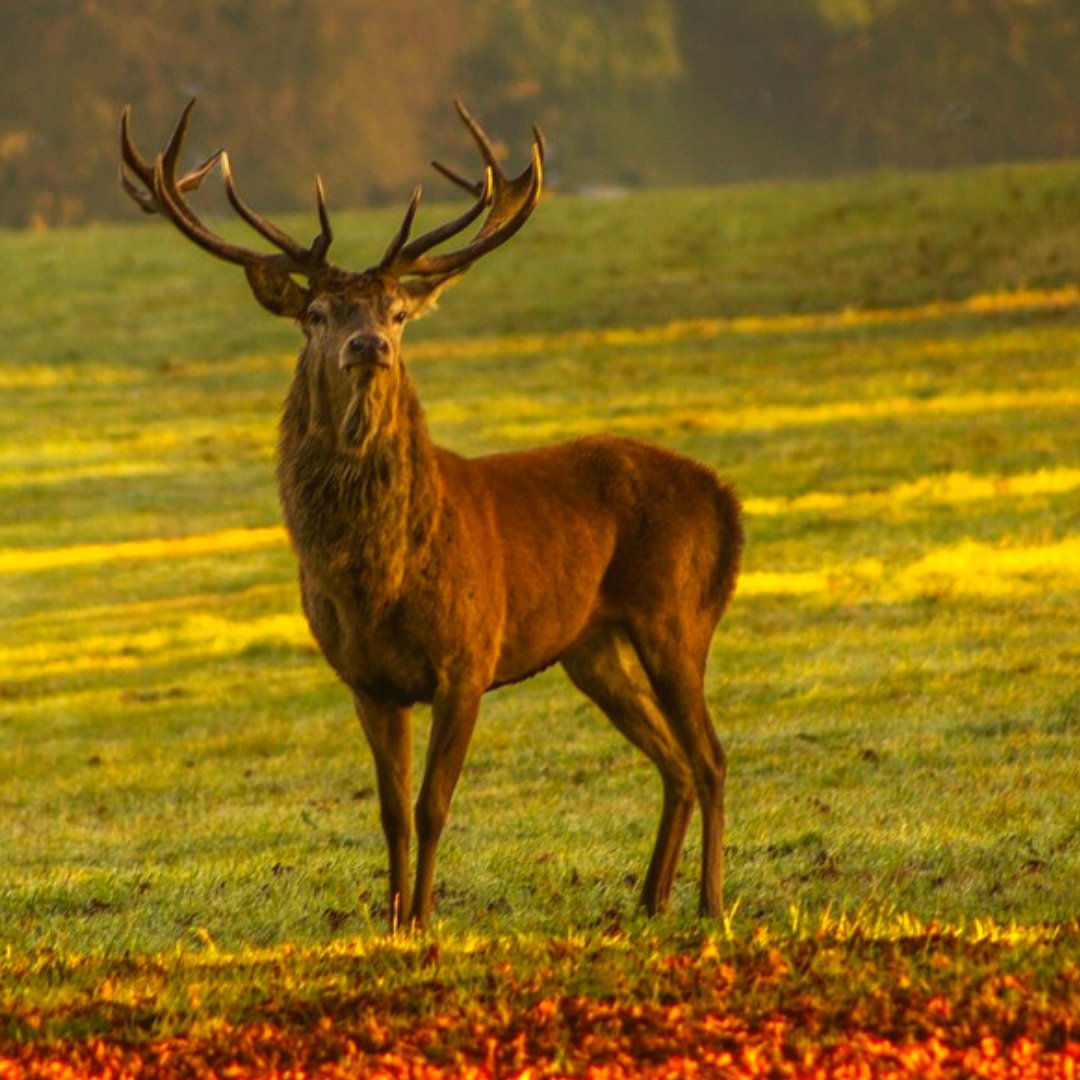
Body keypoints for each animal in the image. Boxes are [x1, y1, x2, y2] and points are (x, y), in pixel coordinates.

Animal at [120, 99, 743, 929]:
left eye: (396, 311)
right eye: (317, 312)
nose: (368, 345)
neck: (377, 580)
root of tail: (726, 500)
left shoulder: (468, 658)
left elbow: (432, 804)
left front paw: (422, 918)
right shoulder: (365, 679)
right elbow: (388, 810)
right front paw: (390, 919)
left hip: (676, 614)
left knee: (710, 755)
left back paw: (709, 900)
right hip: (592, 647)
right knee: (673, 759)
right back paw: (650, 897)